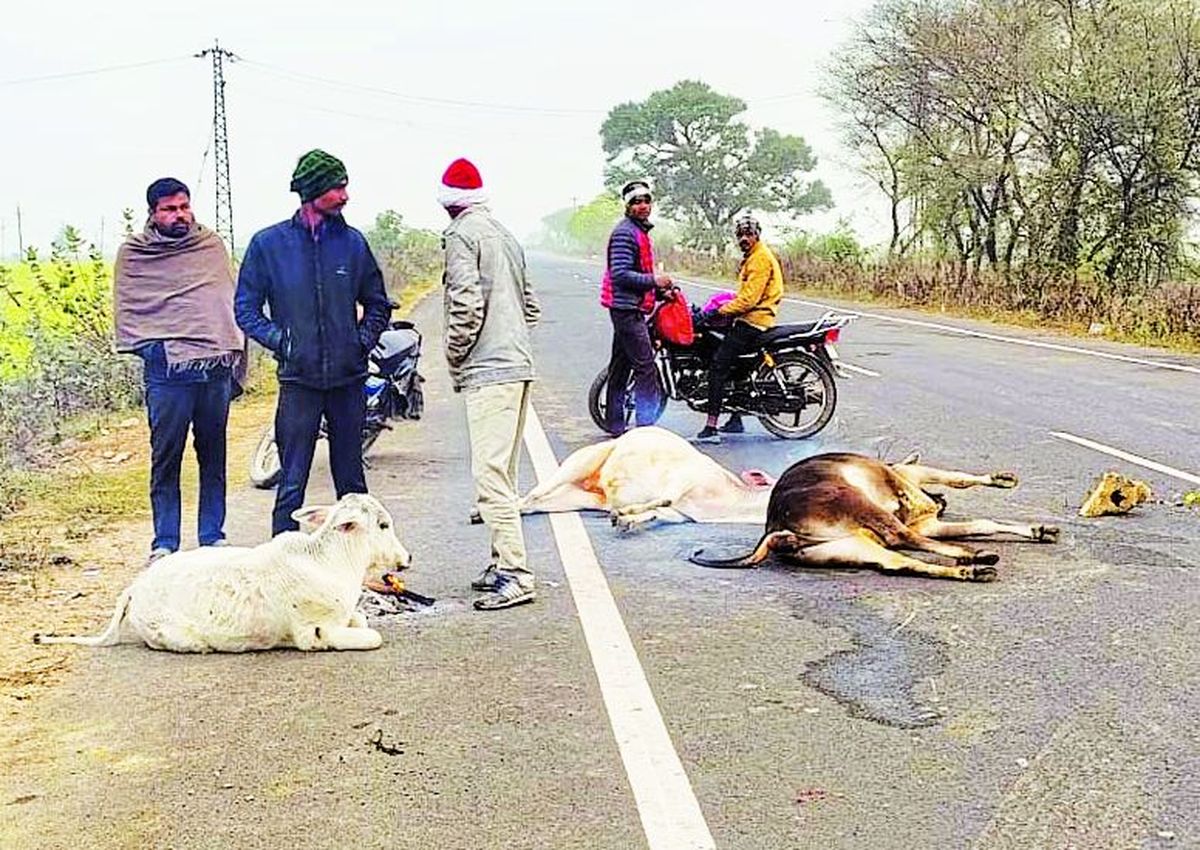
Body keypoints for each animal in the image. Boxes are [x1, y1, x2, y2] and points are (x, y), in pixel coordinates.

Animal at [32, 492, 408, 653]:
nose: (406, 559)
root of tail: (134, 589)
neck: (328, 561)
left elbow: (361, 618)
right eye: (383, 525)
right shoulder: (314, 631)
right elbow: (370, 636)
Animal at [520, 425, 772, 530]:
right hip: (586, 458)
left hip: (580, 497)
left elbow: (658, 513)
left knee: (536, 504)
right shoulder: (685, 477)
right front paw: (623, 513)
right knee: (535, 492)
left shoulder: (681, 515)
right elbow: (665, 499)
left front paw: (625, 519)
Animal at [686, 451, 1060, 583]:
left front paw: (1039, 529)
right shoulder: (909, 478)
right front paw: (999, 479)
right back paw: (974, 556)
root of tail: (776, 527)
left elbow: (981, 523)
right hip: (855, 500)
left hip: (847, 548)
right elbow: (958, 478)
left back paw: (970, 570)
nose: (939, 502)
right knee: (901, 536)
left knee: (900, 563)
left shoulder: (930, 520)